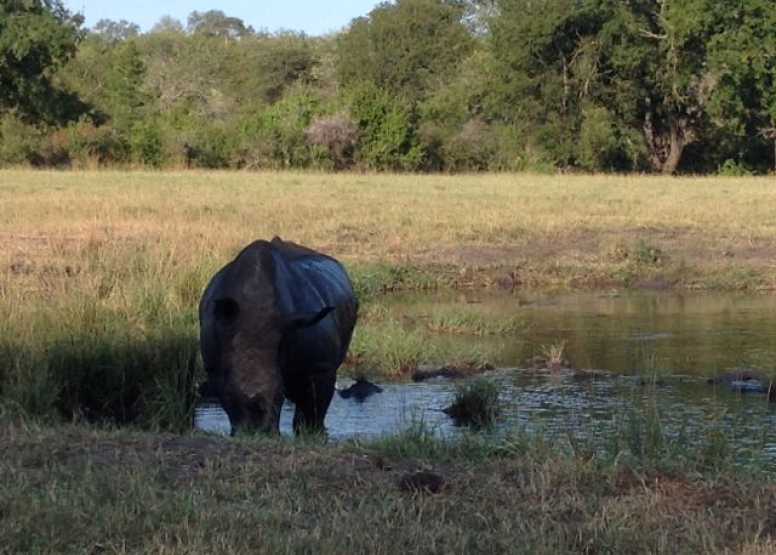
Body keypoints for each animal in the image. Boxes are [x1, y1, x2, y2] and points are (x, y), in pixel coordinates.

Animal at [199, 237, 360, 436]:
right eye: (228, 396)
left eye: (280, 396)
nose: (259, 432)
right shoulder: (214, 367)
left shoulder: (321, 366)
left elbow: (314, 409)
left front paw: (312, 435)